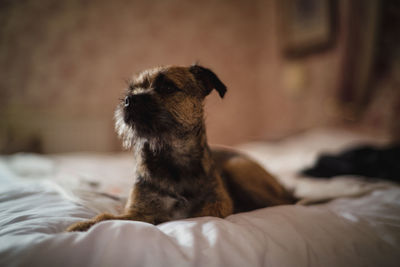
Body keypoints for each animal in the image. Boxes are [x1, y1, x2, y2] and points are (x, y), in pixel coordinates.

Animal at [67, 64, 296, 232]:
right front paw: (82, 225)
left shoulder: (216, 206)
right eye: (131, 90)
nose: (128, 100)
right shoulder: (137, 212)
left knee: (285, 202)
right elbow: (106, 216)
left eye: (167, 87)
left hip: (239, 168)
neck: (170, 158)